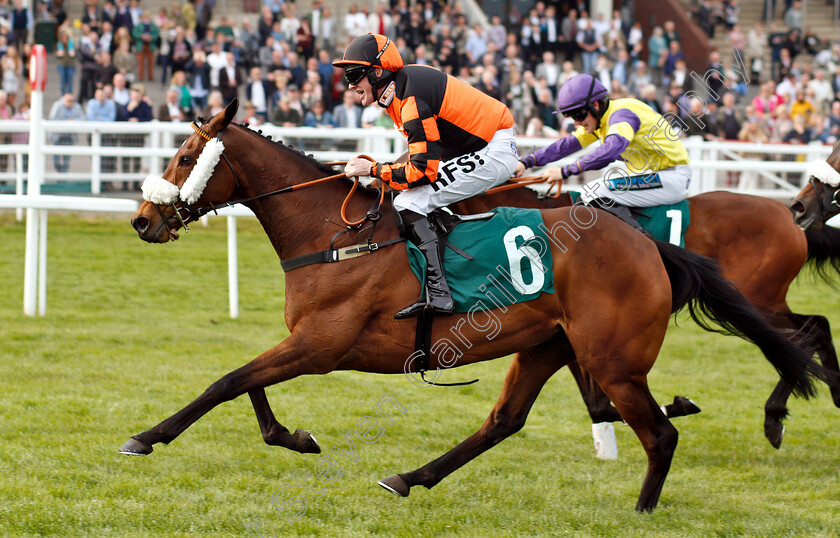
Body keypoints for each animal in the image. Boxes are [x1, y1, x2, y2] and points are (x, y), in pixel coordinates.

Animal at [456, 181, 840, 448]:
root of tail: (791, 217)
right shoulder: (568, 328)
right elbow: (596, 405)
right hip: (767, 300)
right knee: (815, 326)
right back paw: (825, 394)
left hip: (759, 298)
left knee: (800, 336)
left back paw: (776, 417)